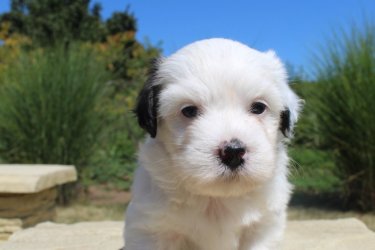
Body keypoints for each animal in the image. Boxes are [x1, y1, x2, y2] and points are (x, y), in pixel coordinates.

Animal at [125, 37, 302, 250]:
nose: (233, 152)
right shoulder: (151, 230)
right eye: (189, 110)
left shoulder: (263, 228)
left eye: (259, 107)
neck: (217, 199)